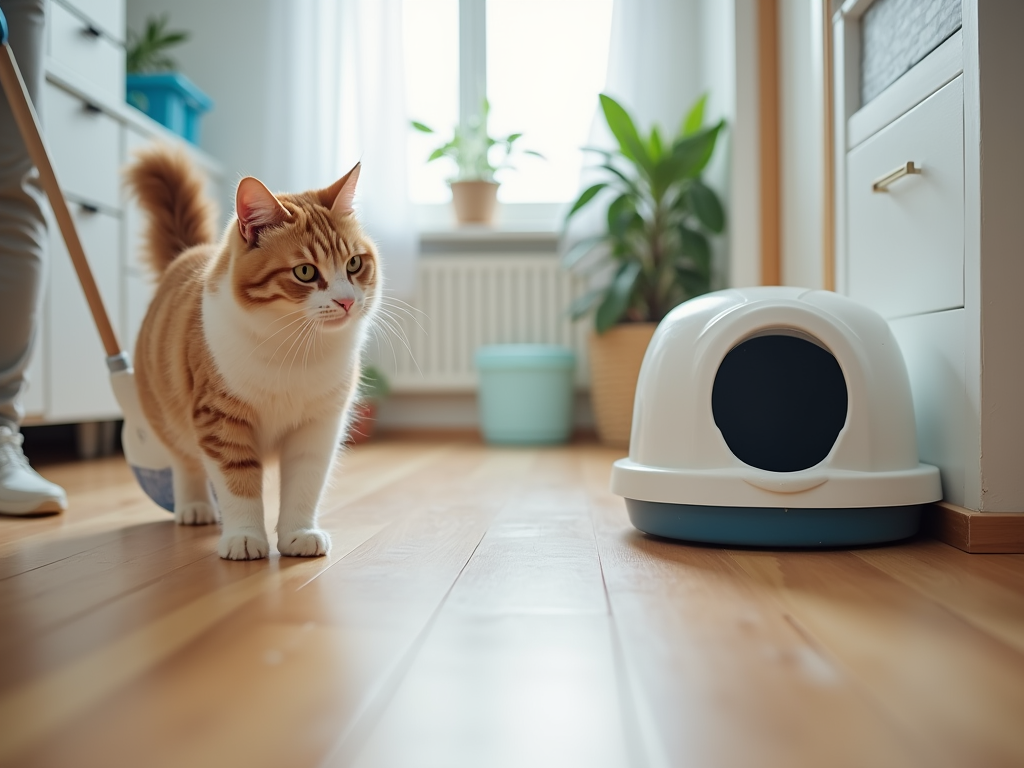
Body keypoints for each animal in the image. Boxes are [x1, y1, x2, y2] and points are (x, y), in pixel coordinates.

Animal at [126, 147, 380, 561]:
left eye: (354, 264)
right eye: (305, 272)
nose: (346, 301)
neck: (296, 349)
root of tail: (189, 253)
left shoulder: (319, 425)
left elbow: (305, 484)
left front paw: (298, 534)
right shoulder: (219, 419)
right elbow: (237, 483)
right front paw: (244, 537)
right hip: (165, 415)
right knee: (185, 461)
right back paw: (195, 507)